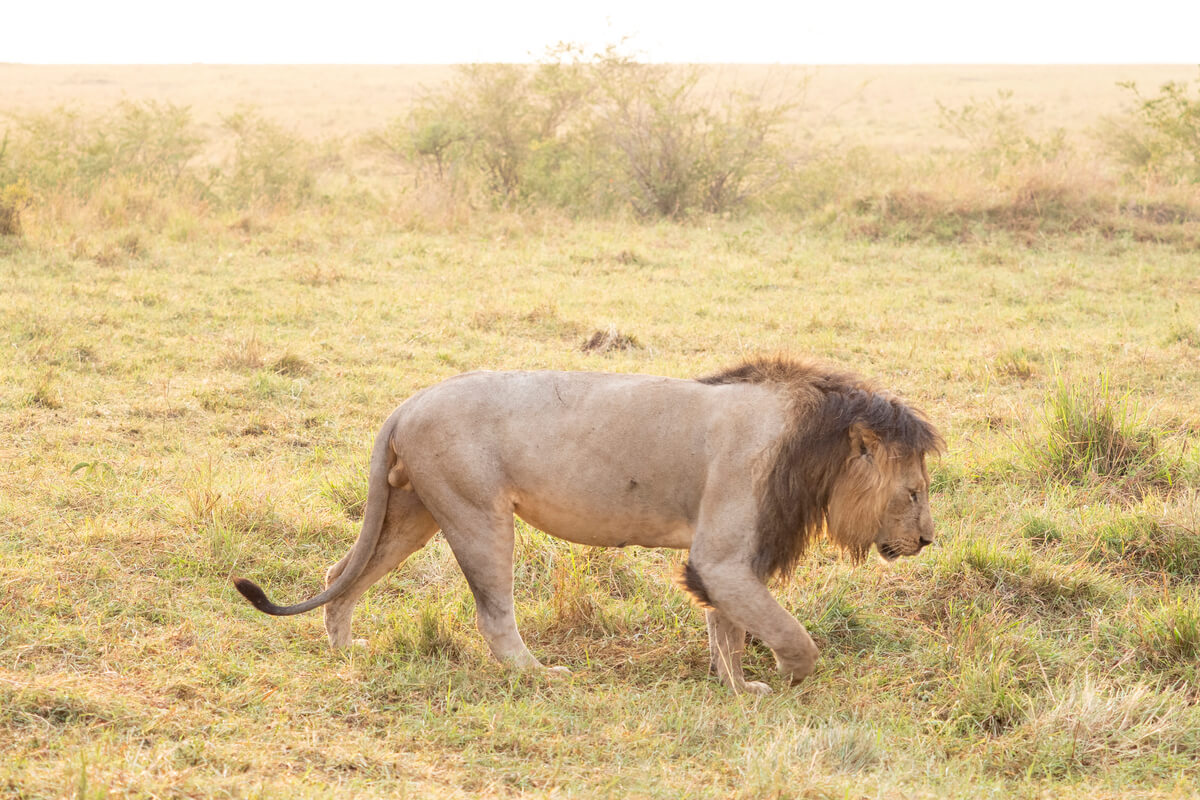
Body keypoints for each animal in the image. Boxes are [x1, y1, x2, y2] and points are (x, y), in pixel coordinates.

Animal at [233, 357, 943, 694]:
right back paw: (537, 675)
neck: (812, 448)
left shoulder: (728, 563)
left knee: (341, 573)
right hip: (475, 510)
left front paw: (739, 687)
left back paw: (345, 651)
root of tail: (407, 403)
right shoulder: (722, 558)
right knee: (493, 613)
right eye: (913, 492)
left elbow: (729, 631)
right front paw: (787, 682)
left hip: (415, 512)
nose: (929, 539)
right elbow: (791, 637)